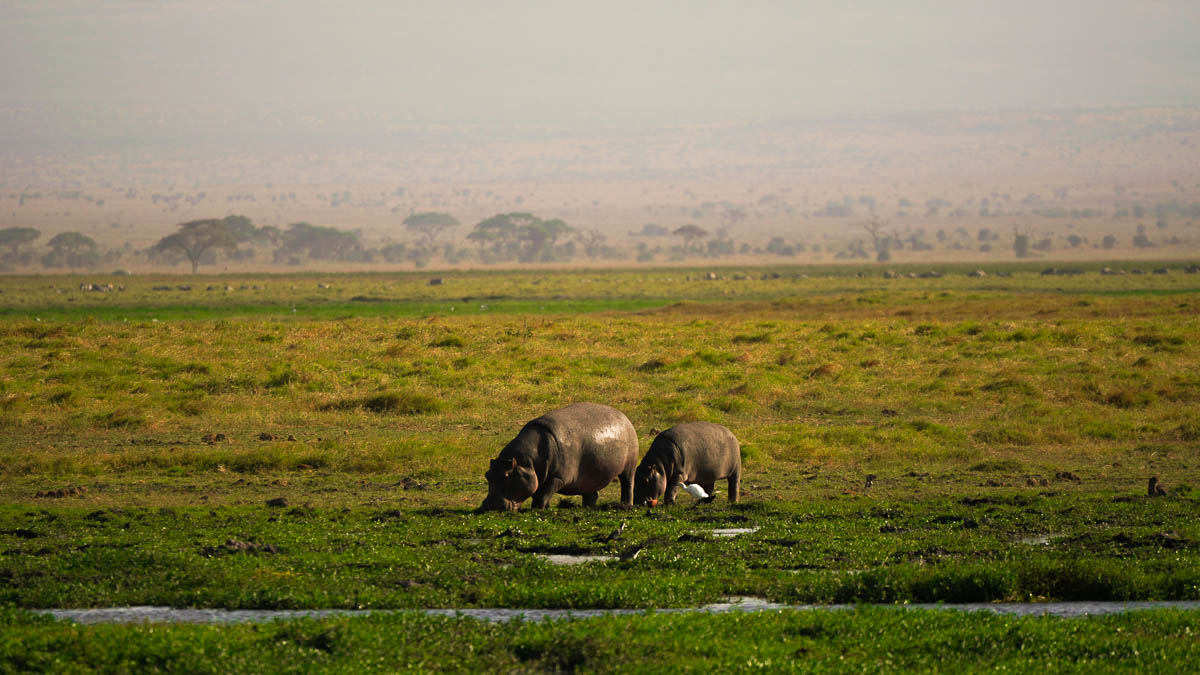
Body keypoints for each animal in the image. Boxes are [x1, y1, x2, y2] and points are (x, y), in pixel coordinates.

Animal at [475, 401, 638, 506]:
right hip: (590, 477)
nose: (488, 506)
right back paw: (588, 508)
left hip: (629, 466)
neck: (527, 462)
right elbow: (539, 495)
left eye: (507, 475)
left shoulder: (557, 478)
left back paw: (626, 506)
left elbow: (542, 497)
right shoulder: (539, 478)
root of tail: (624, 416)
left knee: (628, 485)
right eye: (487, 475)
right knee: (591, 495)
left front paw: (538, 510)